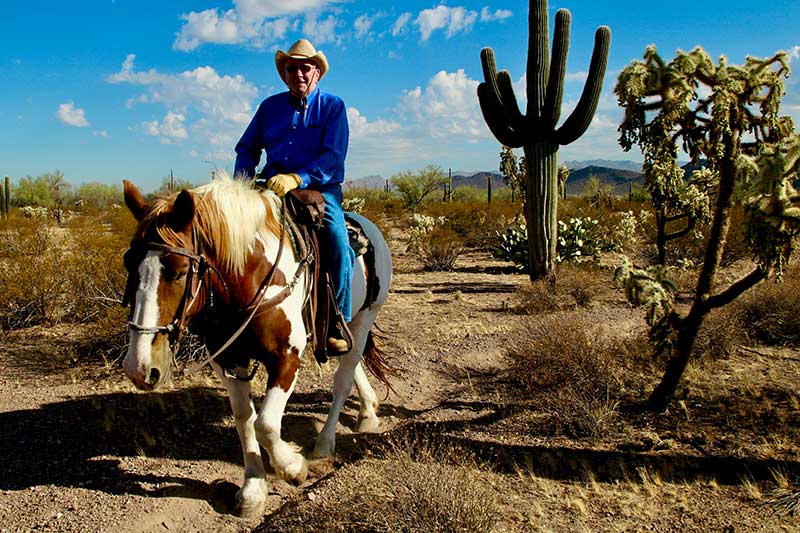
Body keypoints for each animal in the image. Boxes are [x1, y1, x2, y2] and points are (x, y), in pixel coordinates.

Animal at [120, 175, 392, 516]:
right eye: (129, 264)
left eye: (180, 271)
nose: (139, 367)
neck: (250, 278)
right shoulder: (228, 360)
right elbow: (244, 419)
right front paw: (252, 489)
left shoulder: (286, 358)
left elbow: (265, 425)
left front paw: (293, 467)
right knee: (351, 363)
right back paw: (367, 411)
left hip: (365, 316)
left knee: (343, 379)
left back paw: (324, 444)